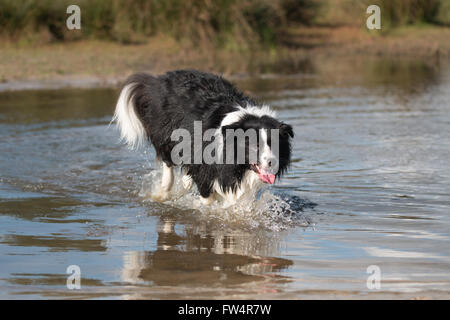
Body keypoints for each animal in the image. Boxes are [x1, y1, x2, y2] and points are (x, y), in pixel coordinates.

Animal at [114, 69, 294, 208]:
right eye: (255, 145)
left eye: (274, 145)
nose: (272, 162)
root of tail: (159, 80)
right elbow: (207, 194)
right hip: (166, 130)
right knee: (168, 159)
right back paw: (164, 191)